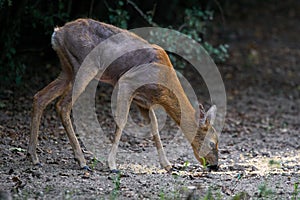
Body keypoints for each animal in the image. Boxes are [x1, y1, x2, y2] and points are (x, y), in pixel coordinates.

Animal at [27, 19, 219, 172]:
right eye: (212, 142)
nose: (215, 166)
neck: (163, 85)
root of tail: (57, 33)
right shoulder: (127, 81)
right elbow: (121, 121)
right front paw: (112, 165)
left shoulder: (143, 102)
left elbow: (155, 127)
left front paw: (166, 164)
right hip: (84, 65)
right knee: (62, 105)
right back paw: (81, 161)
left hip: (67, 69)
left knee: (40, 97)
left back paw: (34, 157)